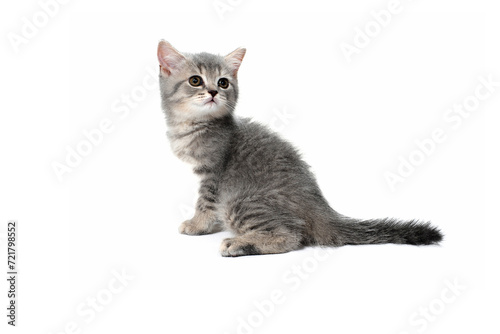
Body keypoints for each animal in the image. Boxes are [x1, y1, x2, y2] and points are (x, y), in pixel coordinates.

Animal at [156, 40, 442, 258]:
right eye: (195, 80)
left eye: (223, 82)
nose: (214, 92)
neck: (194, 125)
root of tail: (321, 208)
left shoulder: (213, 174)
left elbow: (205, 203)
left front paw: (197, 224)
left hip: (240, 201)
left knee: (290, 236)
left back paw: (238, 243)